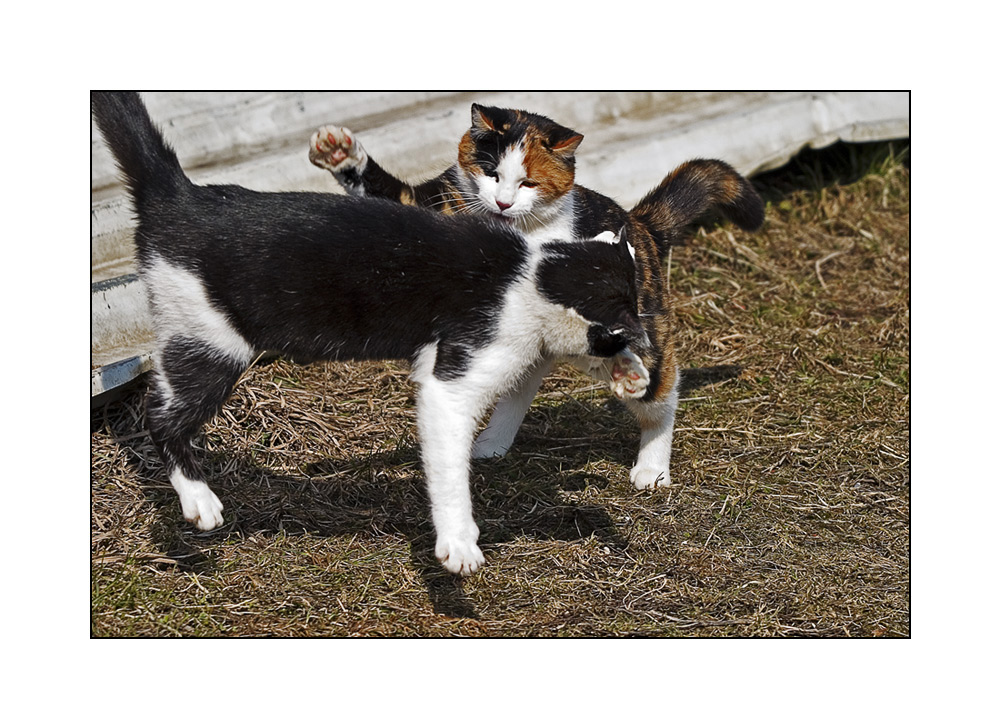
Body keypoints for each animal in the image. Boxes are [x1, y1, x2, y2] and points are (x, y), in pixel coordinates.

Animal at [90, 92, 644, 576]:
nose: (640, 341)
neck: (532, 271)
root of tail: (181, 196)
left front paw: (629, 376)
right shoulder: (454, 378)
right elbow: (449, 467)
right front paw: (459, 540)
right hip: (213, 342)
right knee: (159, 416)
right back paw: (198, 499)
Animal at [308, 102, 760, 490]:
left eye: (529, 182)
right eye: (491, 173)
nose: (503, 203)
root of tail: (641, 224)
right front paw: (340, 154)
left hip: (647, 337)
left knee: (661, 395)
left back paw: (652, 464)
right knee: (518, 388)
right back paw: (491, 443)